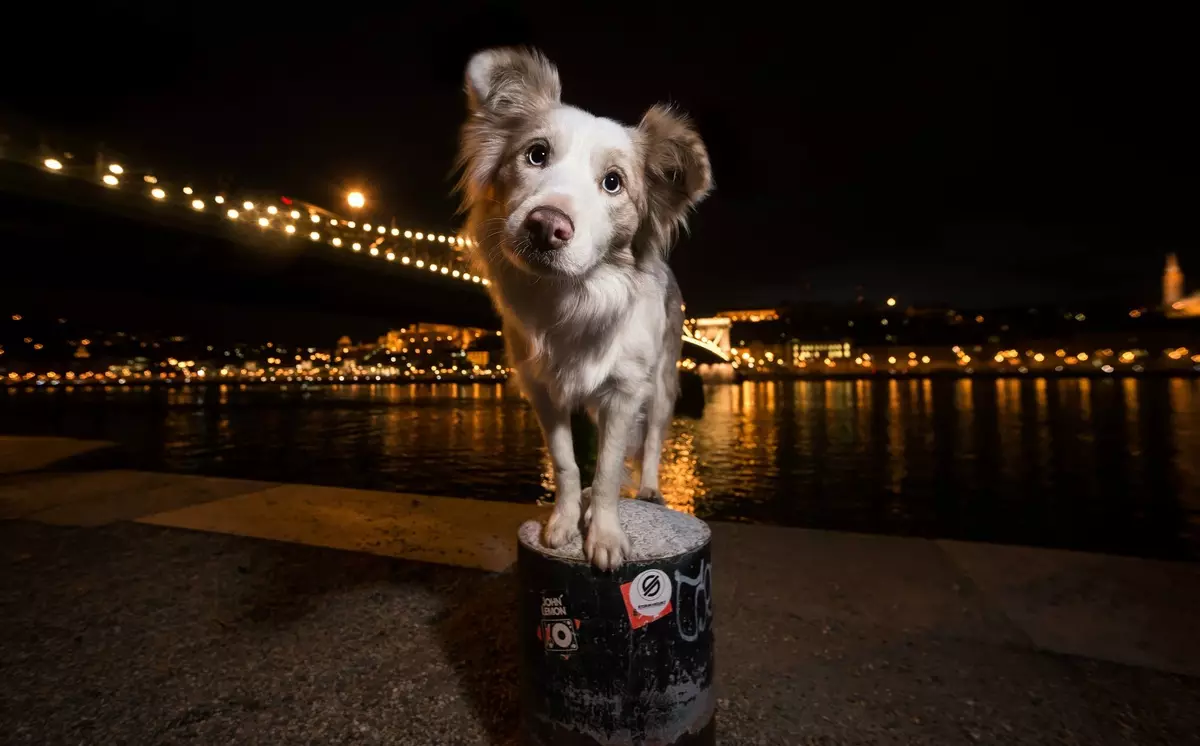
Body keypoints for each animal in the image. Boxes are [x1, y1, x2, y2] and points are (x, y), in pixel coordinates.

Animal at [453, 48, 705, 573]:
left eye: (613, 183)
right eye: (536, 154)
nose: (546, 226)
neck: (572, 298)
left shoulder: (625, 392)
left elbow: (608, 471)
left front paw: (604, 534)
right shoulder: (543, 392)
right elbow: (567, 463)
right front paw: (566, 520)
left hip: (664, 381)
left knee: (652, 439)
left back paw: (649, 488)